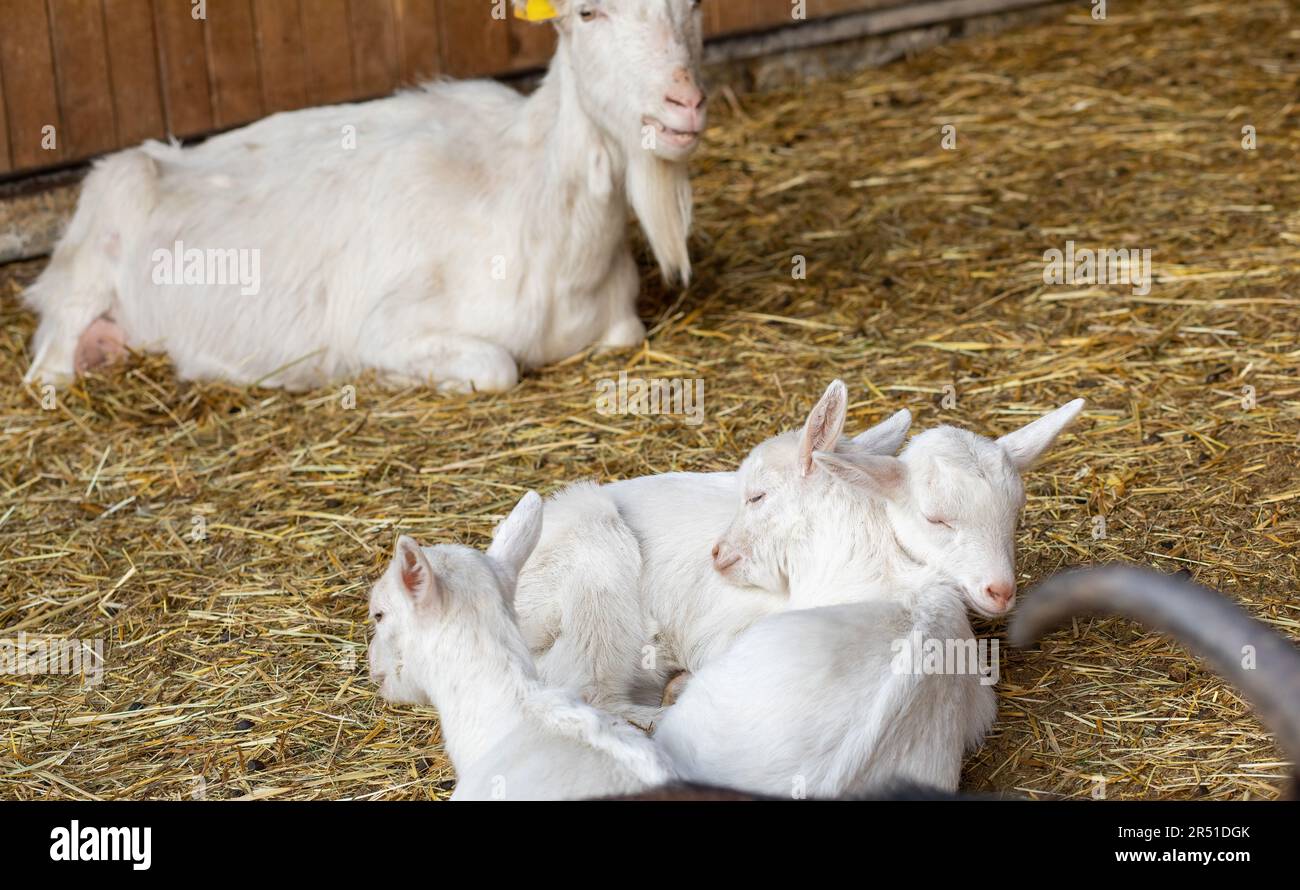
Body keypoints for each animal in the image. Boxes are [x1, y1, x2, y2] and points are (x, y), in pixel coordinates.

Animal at [24, 0, 706, 392]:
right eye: (588, 14)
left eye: (692, 4)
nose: (687, 101)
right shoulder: (383, 326)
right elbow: (496, 368)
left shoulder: (619, 324)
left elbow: (625, 335)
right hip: (93, 250)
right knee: (47, 366)